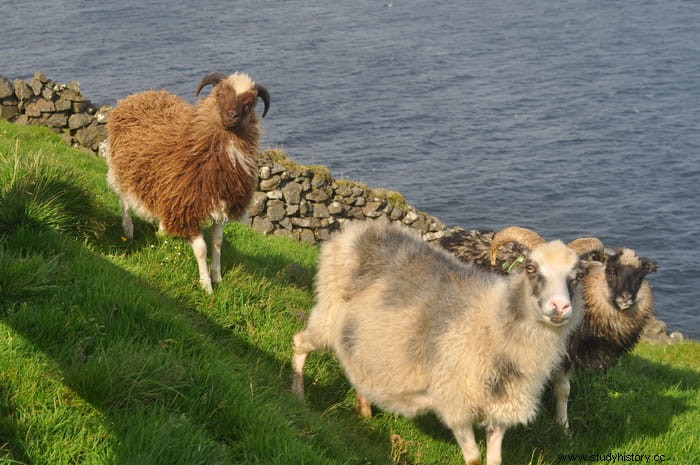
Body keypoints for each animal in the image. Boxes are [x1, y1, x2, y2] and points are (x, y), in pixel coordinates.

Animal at [106, 70, 270, 292]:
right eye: (220, 95)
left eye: (249, 103)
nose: (231, 116)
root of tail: (140, 95)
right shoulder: (187, 208)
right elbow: (201, 249)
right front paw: (206, 286)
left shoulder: (219, 207)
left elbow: (217, 242)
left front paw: (217, 276)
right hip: (121, 168)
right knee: (123, 199)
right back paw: (128, 229)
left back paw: (162, 232)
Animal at [292, 221, 600, 464]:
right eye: (531, 268)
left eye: (577, 276)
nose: (560, 307)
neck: (494, 324)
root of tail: (357, 229)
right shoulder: (455, 402)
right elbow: (473, 458)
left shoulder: (500, 409)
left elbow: (495, 460)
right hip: (328, 318)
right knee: (299, 342)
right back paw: (298, 398)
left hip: (360, 338)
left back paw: (364, 410)